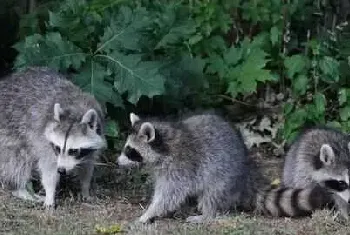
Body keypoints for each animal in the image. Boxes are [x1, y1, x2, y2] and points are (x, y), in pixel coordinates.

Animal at [0, 67, 106, 208]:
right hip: (8, 131)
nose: (61, 170)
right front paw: (50, 193)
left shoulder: (95, 139)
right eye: (57, 147)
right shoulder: (43, 140)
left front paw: (85, 188)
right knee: (17, 160)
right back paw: (20, 189)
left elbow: (87, 164)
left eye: (73, 150)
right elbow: (49, 168)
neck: (75, 111)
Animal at [117, 113, 334, 223]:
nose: (118, 162)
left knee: (212, 195)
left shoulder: (181, 167)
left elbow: (169, 195)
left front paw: (149, 213)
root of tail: (246, 173)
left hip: (223, 175)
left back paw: (207, 215)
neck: (166, 145)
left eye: (130, 151)